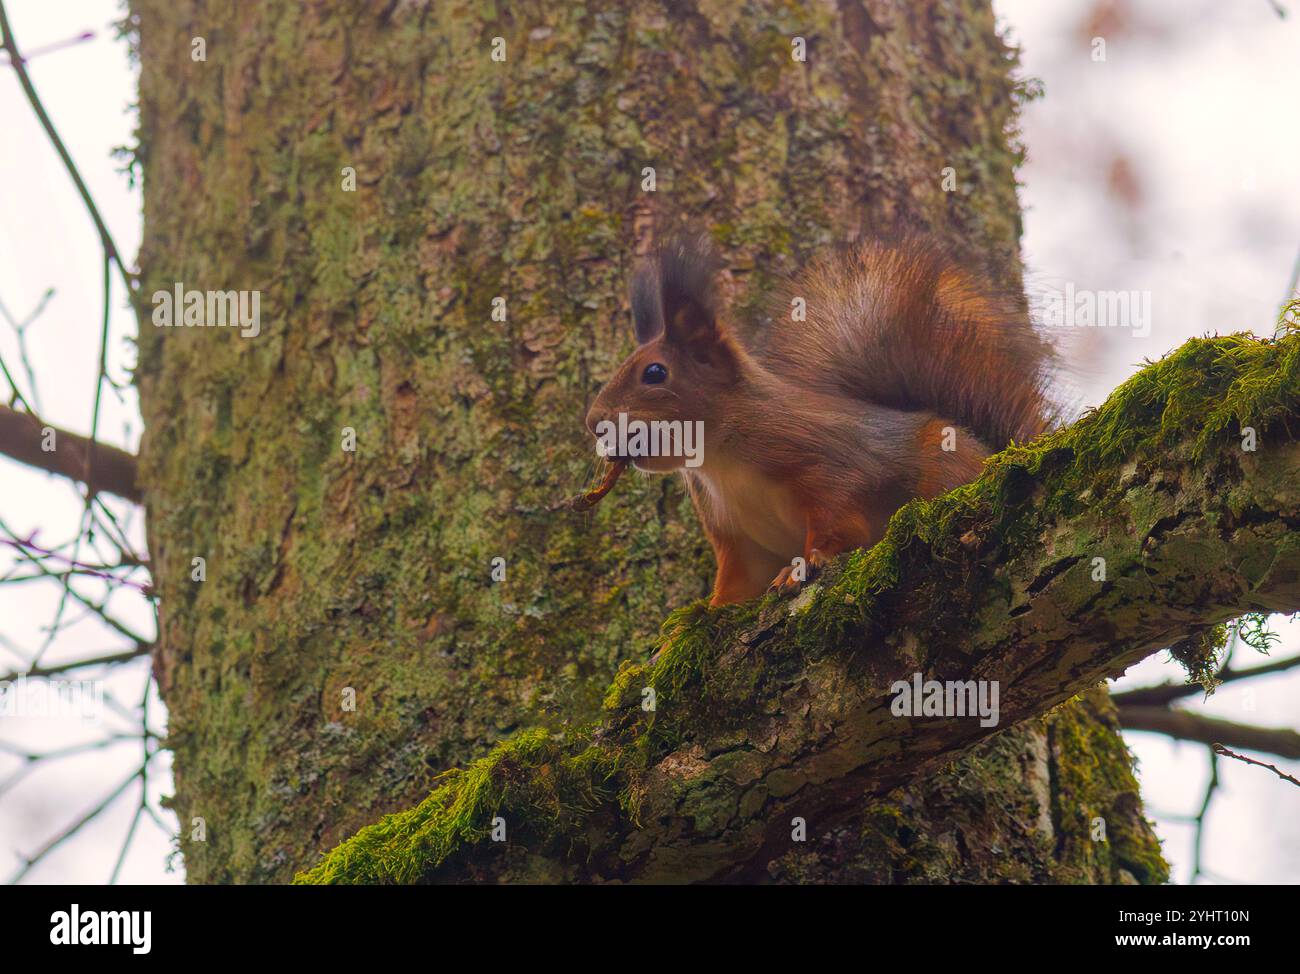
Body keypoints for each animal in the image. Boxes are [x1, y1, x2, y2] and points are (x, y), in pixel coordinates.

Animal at [585, 231, 1050, 603]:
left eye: (654, 373)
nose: (594, 422)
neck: (721, 461)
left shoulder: (829, 459)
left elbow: (839, 518)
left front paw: (805, 565)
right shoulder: (735, 536)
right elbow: (736, 581)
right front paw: (691, 623)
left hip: (943, 462)